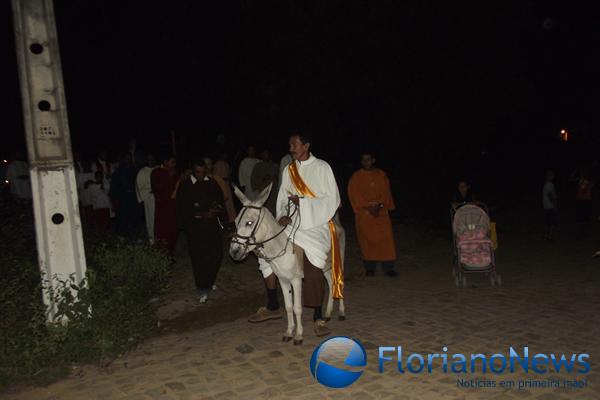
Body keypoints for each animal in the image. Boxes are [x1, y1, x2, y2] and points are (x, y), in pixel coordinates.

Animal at [229, 184, 344, 344]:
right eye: (235, 221)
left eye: (249, 222)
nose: (234, 251)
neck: (282, 247)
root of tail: (335, 223)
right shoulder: (283, 280)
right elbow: (289, 307)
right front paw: (289, 332)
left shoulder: (296, 280)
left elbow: (297, 308)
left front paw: (299, 335)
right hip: (326, 267)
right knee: (330, 283)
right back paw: (327, 314)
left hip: (337, 262)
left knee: (337, 282)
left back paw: (339, 313)